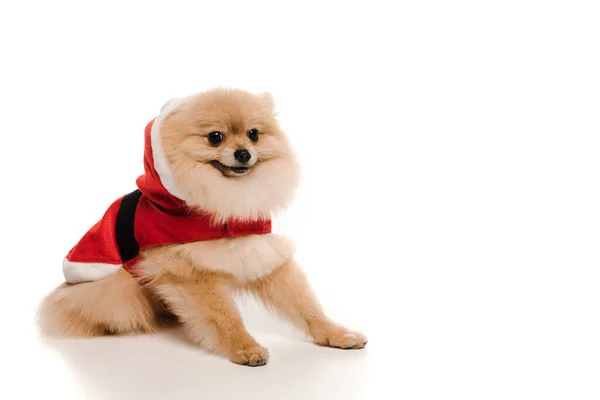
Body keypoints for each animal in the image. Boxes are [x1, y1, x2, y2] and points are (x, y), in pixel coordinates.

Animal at [38, 87, 366, 366]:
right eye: (215, 137)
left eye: (254, 134)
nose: (244, 152)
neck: (224, 207)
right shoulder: (191, 271)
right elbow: (224, 315)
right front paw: (244, 347)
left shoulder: (263, 252)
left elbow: (305, 304)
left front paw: (335, 334)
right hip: (114, 289)